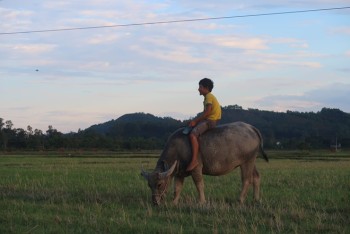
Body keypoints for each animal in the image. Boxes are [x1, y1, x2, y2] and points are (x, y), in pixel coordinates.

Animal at [141, 121, 270, 206]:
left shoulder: (196, 169)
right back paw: (256, 199)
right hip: (252, 161)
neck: (178, 148)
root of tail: (251, 127)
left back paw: (240, 199)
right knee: (256, 177)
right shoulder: (179, 173)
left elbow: (199, 185)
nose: (155, 202)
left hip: (246, 162)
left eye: (159, 184)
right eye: (149, 185)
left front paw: (202, 201)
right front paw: (174, 202)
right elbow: (177, 188)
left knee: (246, 180)